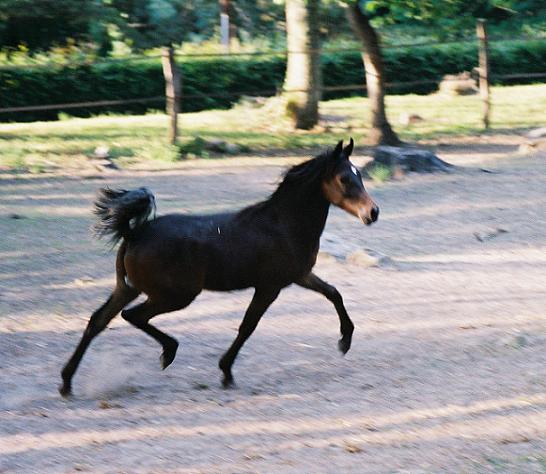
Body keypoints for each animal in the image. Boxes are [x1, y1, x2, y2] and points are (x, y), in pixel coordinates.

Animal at [58, 138, 374, 396]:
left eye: (359, 175)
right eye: (345, 178)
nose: (373, 213)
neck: (282, 225)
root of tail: (134, 233)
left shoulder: (299, 275)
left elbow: (333, 293)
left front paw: (345, 340)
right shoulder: (269, 286)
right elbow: (248, 325)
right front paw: (226, 372)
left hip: (129, 288)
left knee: (98, 320)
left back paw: (66, 382)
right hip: (176, 295)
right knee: (132, 316)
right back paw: (168, 352)